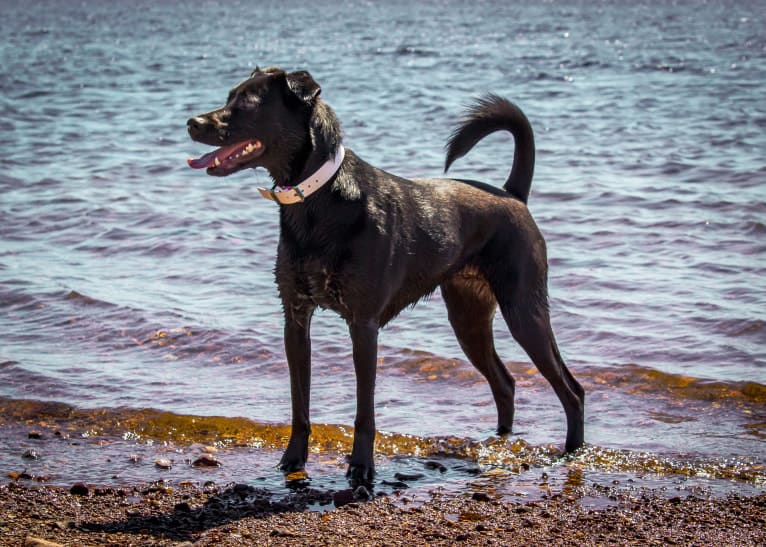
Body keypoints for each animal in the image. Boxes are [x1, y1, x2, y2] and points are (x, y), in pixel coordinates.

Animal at [189, 67, 584, 484]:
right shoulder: (295, 319)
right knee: (505, 383)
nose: (192, 123)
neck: (318, 198)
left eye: (247, 103)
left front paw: (362, 468)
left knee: (572, 390)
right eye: (229, 96)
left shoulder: (363, 325)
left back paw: (572, 452)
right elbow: (300, 403)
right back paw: (499, 440)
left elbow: (365, 411)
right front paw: (293, 460)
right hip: (468, 318)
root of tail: (512, 195)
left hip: (524, 310)